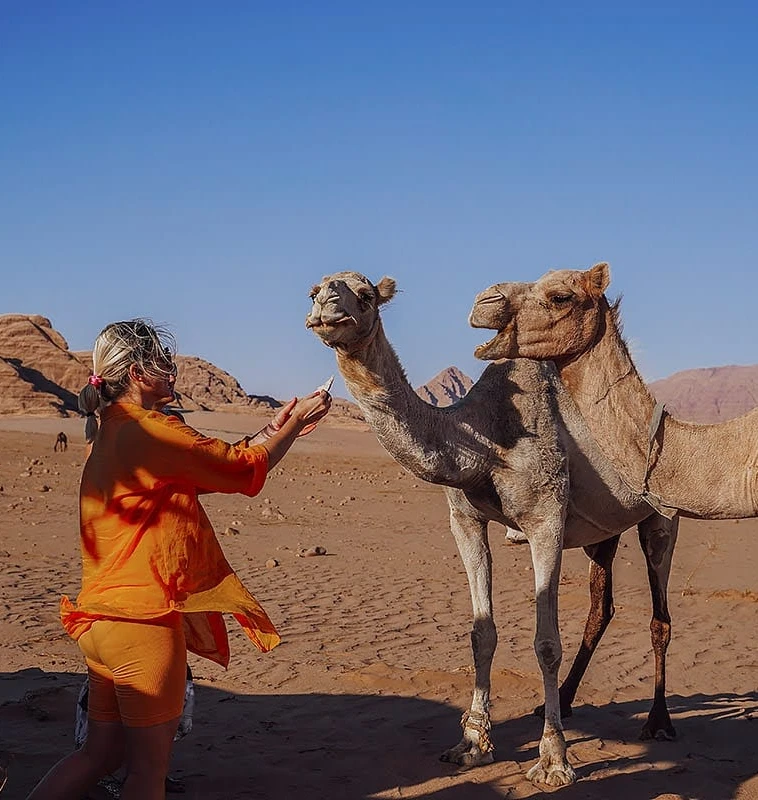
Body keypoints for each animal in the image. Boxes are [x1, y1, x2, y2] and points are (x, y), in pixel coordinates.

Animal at [306, 271, 679, 786]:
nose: (326, 302)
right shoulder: (465, 519)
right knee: (600, 608)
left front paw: (553, 760)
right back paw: (563, 701)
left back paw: (658, 722)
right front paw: (472, 743)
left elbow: (546, 643)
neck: (487, 436)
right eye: (313, 290)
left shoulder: (546, 518)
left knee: (660, 614)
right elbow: (481, 632)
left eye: (364, 296)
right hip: (604, 533)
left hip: (661, 514)